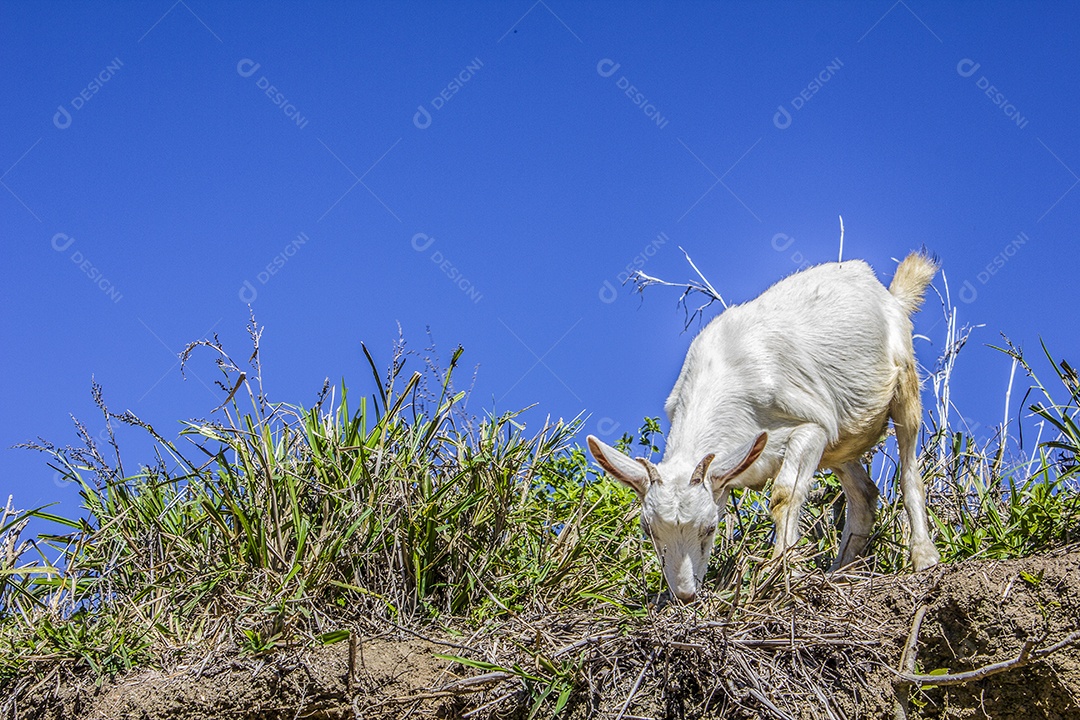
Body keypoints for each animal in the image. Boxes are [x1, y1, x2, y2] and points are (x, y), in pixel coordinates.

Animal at [588, 252, 941, 601]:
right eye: (648, 530)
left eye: (710, 527)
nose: (685, 595)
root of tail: (886, 292)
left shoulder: (811, 427)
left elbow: (785, 495)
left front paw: (781, 572)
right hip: (841, 442)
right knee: (864, 493)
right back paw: (839, 571)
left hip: (903, 383)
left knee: (909, 471)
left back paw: (924, 557)